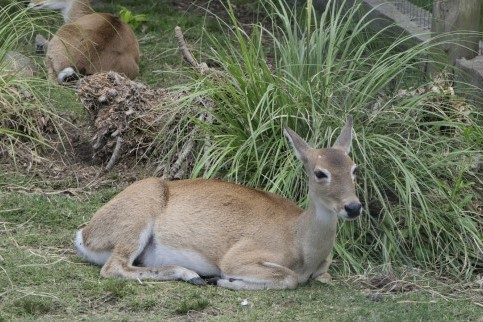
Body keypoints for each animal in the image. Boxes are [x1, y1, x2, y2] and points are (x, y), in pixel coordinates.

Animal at [76, 117, 364, 290]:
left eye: (354, 168)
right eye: (320, 173)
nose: (353, 207)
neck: (299, 241)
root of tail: (85, 235)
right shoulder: (238, 256)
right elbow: (289, 278)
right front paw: (226, 281)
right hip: (137, 219)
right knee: (114, 267)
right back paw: (192, 275)